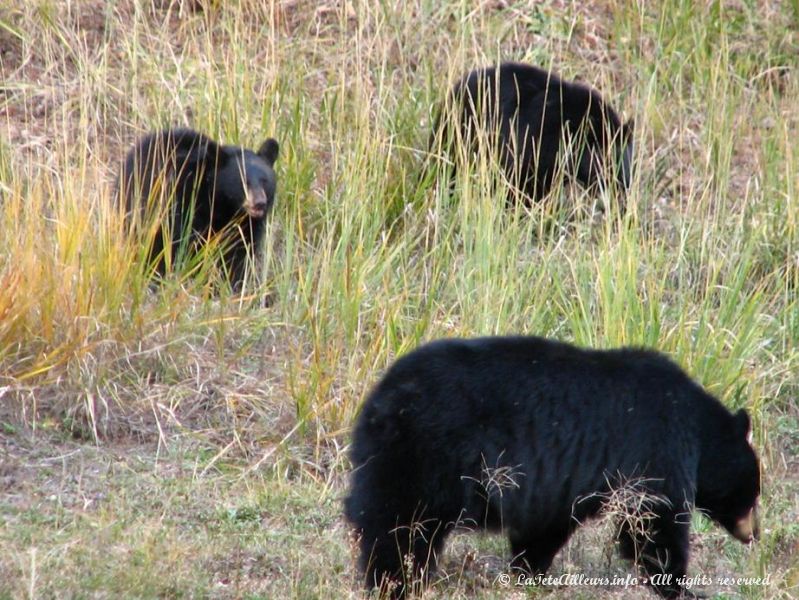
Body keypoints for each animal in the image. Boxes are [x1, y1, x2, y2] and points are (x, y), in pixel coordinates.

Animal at [117, 126, 282, 288]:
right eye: (243, 182)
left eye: (265, 181)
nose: (259, 203)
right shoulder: (183, 200)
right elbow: (183, 242)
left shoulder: (247, 225)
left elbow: (239, 253)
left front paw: (232, 284)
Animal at [346, 336, 764, 596]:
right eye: (754, 492)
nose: (754, 535)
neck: (696, 427)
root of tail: (381, 401)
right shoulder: (654, 446)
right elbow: (651, 523)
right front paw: (683, 588)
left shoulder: (557, 483)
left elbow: (545, 527)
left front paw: (530, 573)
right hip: (427, 455)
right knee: (402, 527)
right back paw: (396, 582)